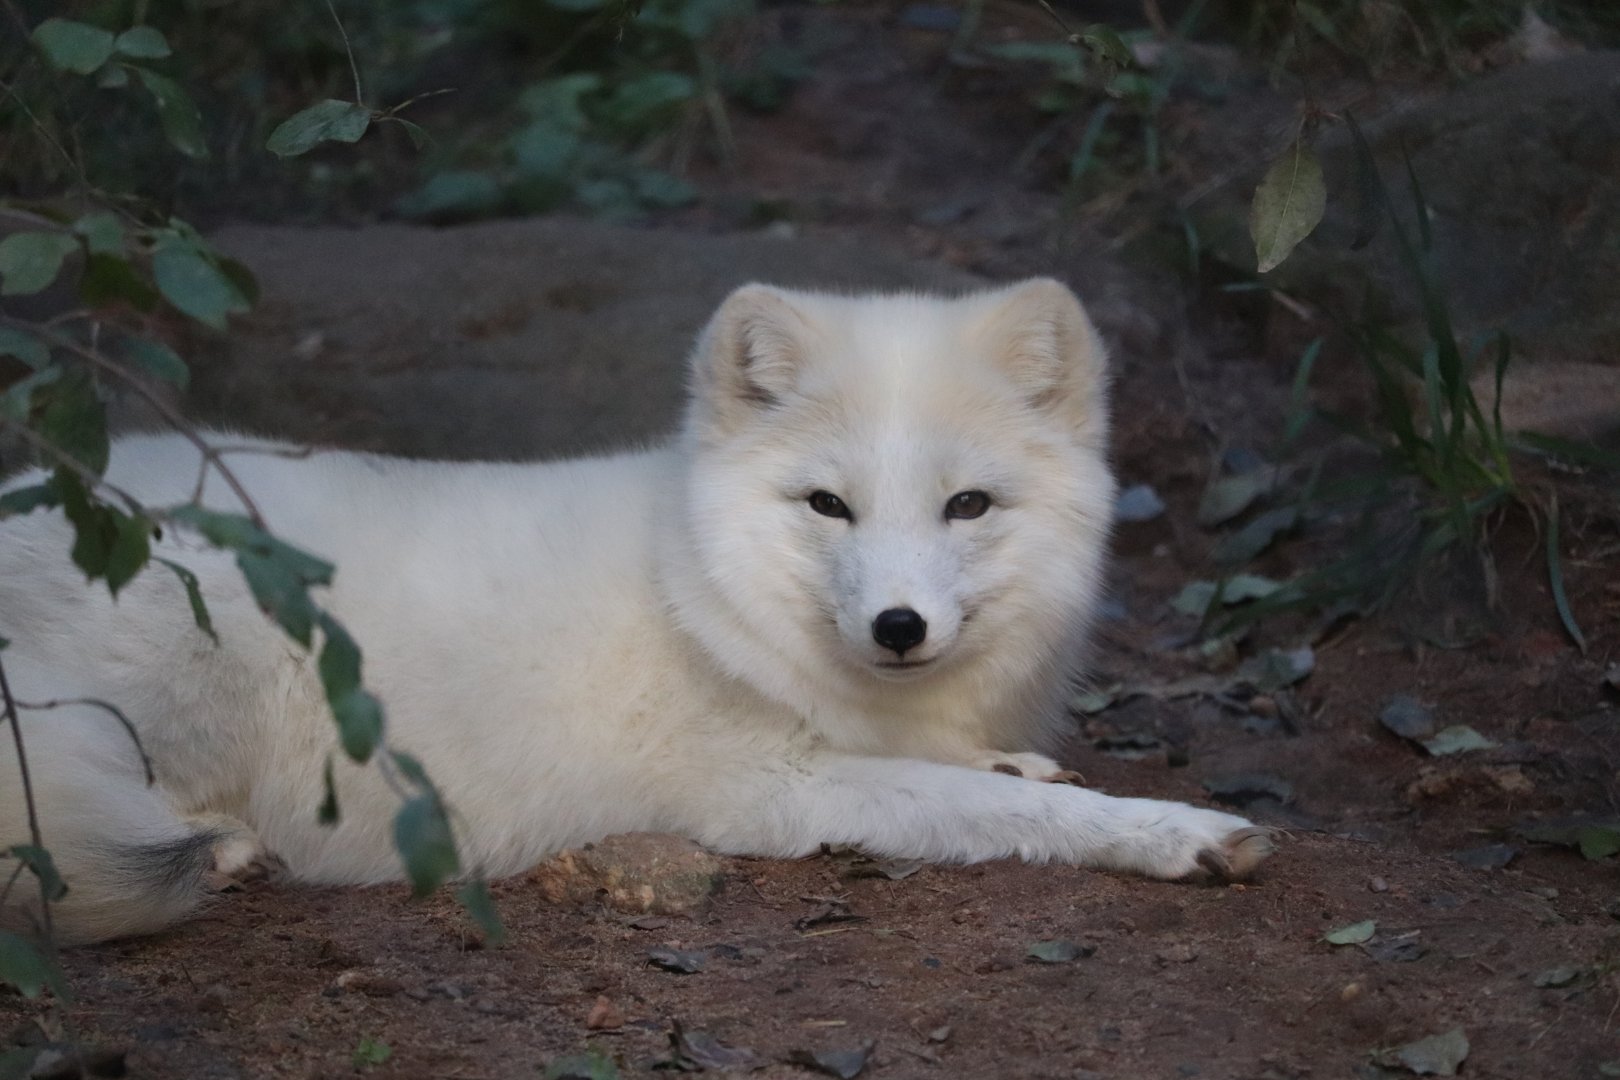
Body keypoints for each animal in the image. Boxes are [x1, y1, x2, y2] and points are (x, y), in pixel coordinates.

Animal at [0, 278, 1273, 944]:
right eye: (828, 505)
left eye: (968, 505)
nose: (899, 630)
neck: (695, 575)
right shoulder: (771, 787)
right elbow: (996, 806)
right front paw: (1173, 832)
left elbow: (986, 773)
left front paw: (1017, 761)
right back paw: (216, 854)